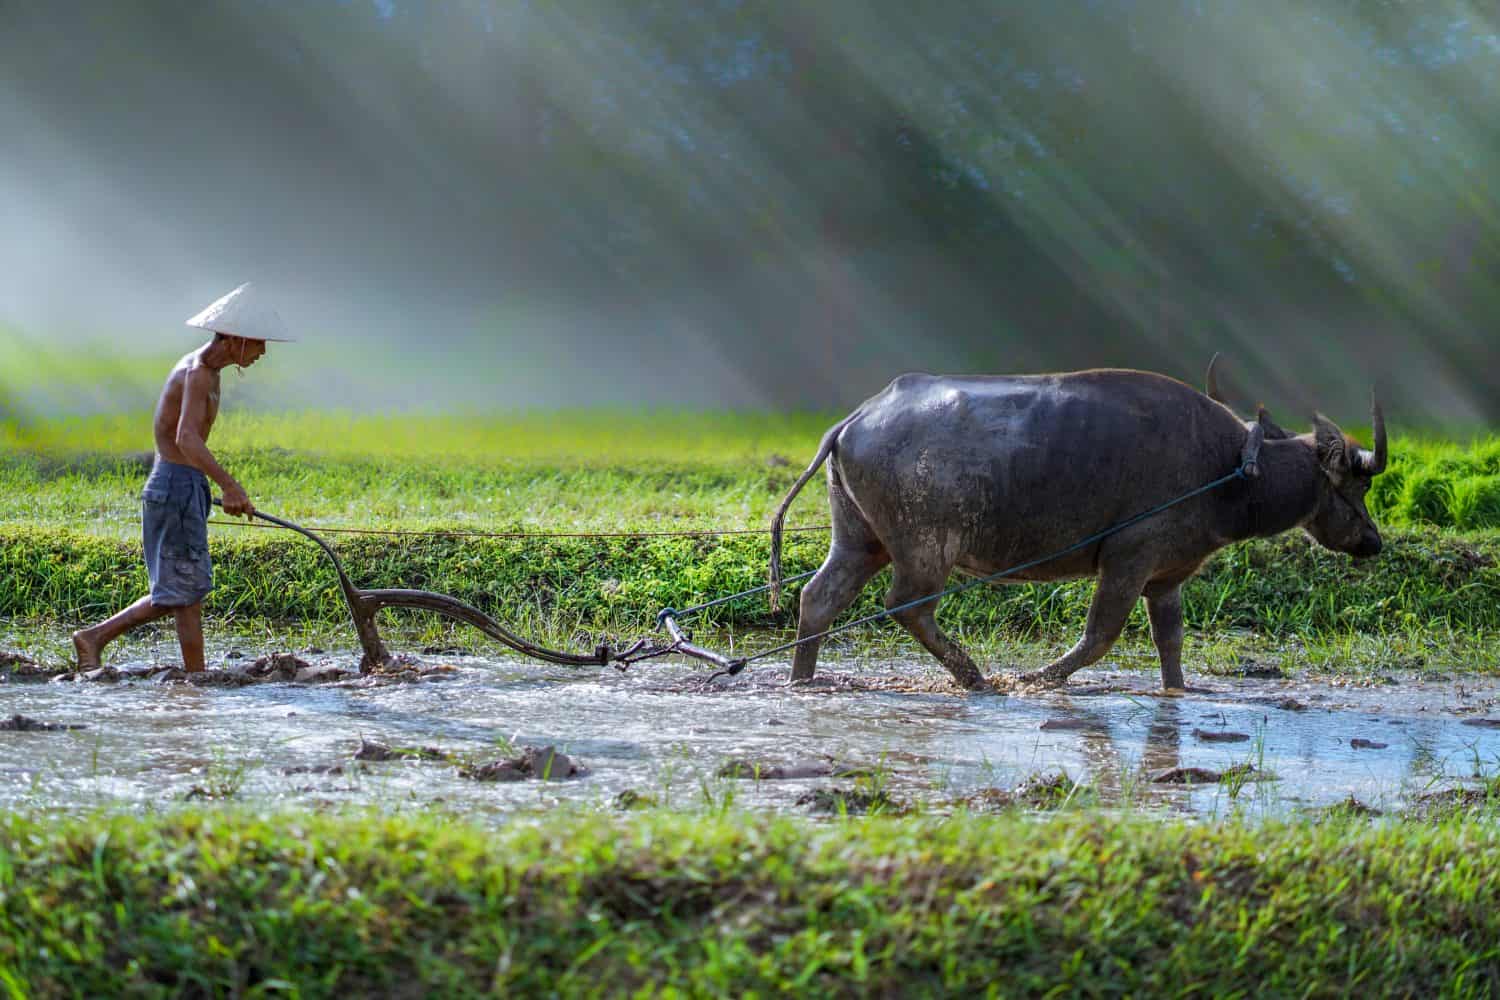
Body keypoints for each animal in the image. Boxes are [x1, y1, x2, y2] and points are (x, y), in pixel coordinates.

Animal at [768, 365, 1386, 689]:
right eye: (1355, 486)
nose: (1373, 542)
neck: (1231, 468)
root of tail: (855, 419)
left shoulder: (1166, 578)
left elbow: (1170, 642)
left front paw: (1177, 693)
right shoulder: (1128, 559)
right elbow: (1100, 636)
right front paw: (1038, 678)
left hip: (860, 540)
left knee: (818, 598)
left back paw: (803, 678)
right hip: (925, 549)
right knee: (907, 606)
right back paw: (975, 676)